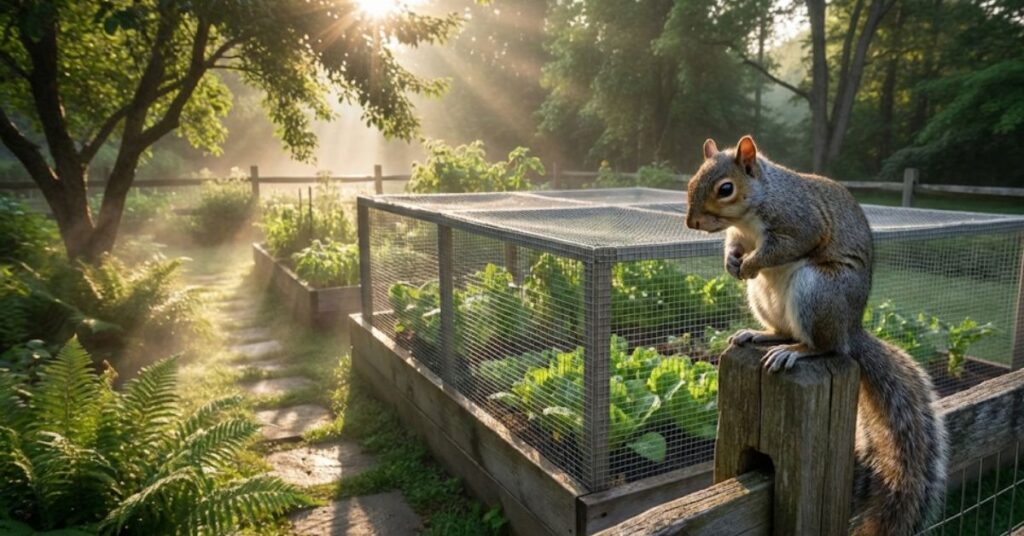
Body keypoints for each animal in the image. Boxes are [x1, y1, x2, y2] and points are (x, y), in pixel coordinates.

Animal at [685, 135, 947, 535]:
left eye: (725, 189)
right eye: (691, 180)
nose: (691, 222)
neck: (751, 214)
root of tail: (851, 329)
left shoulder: (800, 222)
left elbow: (784, 247)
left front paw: (751, 262)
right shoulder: (738, 235)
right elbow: (732, 245)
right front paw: (732, 261)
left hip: (819, 292)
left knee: (825, 347)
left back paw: (795, 351)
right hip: (764, 299)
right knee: (782, 330)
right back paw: (760, 336)